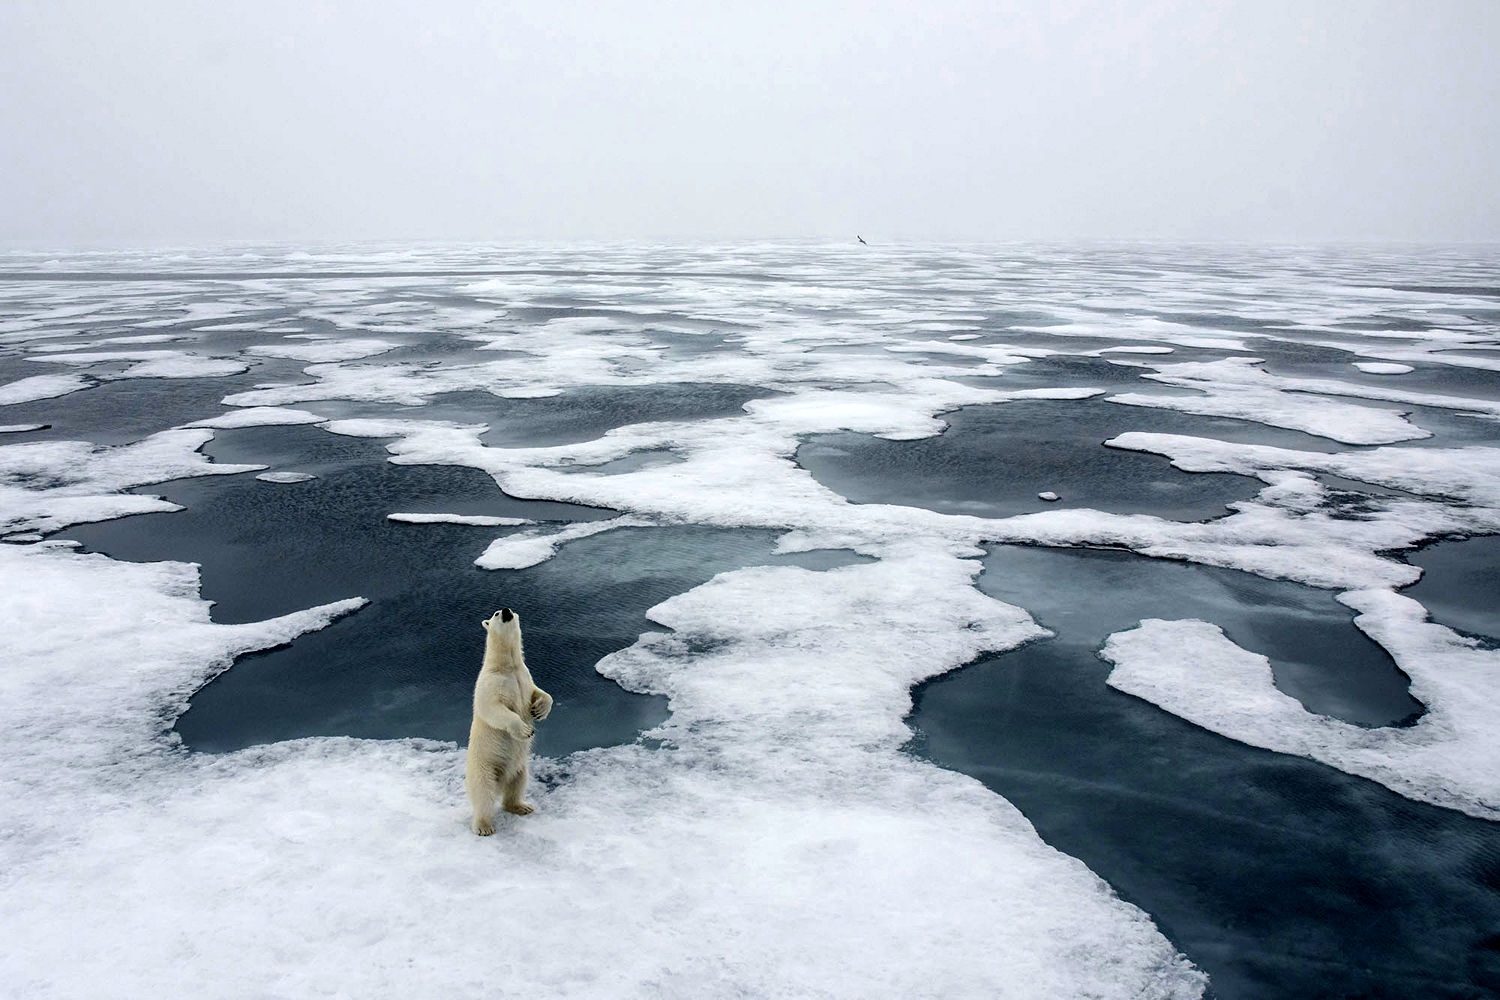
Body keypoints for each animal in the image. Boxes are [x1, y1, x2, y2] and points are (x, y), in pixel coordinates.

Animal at [462, 611, 552, 839]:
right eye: (495, 613)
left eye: (510, 608)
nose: (505, 610)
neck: (507, 667)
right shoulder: (490, 683)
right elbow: (493, 708)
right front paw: (525, 730)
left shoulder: (525, 677)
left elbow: (539, 692)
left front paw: (539, 710)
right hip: (483, 766)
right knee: (483, 794)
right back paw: (484, 826)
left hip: (520, 767)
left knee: (517, 785)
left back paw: (522, 806)